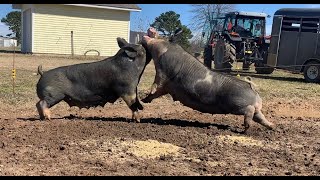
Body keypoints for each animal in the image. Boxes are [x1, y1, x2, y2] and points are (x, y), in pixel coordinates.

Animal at [140, 27, 276, 132]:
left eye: (162, 36)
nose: (151, 29)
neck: (165, 49)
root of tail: (251, 88)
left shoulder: (164, 70)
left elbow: (157, 83)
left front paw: (147, 93)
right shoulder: (167, 86)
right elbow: (156, 93)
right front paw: (144, 100)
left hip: (236, 104)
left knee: (250, 111)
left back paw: (247, 128)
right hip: (251, 109)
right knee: (260, 117)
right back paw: (272, 126)